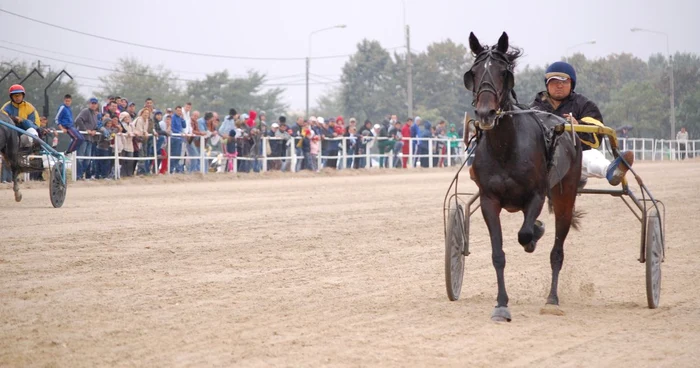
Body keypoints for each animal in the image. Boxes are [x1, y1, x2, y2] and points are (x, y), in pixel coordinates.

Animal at [468, 32, 584, 322]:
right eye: (473, 73)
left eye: (504, 72)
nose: (485, 113)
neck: (505, 147)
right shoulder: (489, 200)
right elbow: (498, 254)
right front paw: (501, 305)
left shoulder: (536, 196)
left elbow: (525, 234)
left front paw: (534, 235)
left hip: (565, 196)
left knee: (557, 251)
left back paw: (552, 299)